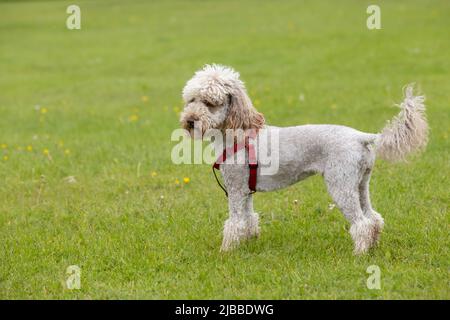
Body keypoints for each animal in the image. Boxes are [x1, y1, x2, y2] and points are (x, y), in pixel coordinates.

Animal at [178, 65, 426, 255]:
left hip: (340, 185)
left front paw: (226, 251)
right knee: (374, 219)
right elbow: (248, 219)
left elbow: (235, 222)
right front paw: (248, 242)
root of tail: (361, 136)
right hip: (361, 184)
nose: (189, 121)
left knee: (362, 223)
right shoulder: (245, 190)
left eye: (210, 102)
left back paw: (360, 253)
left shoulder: (237, 189)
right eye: (191, 99)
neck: (238, 133)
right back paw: (372, 246)